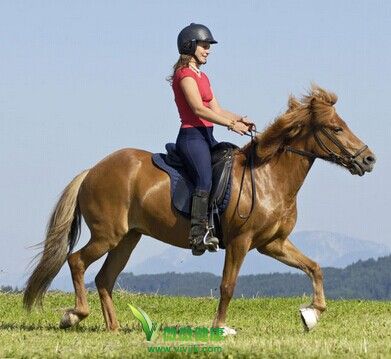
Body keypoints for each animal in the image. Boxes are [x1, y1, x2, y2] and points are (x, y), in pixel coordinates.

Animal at [23, 86, 376, 334]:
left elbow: (314, 268)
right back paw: (74, 315)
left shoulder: (272, 244)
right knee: (76, 261)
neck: (268, 176)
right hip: (107, 235)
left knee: (104, 279)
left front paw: (311, 314)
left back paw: (114, 328)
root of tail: (92, 171)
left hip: (127, 239)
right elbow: (227, 286)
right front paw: (220, 327)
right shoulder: (240, 242)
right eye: (336, 128)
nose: (369, 159)